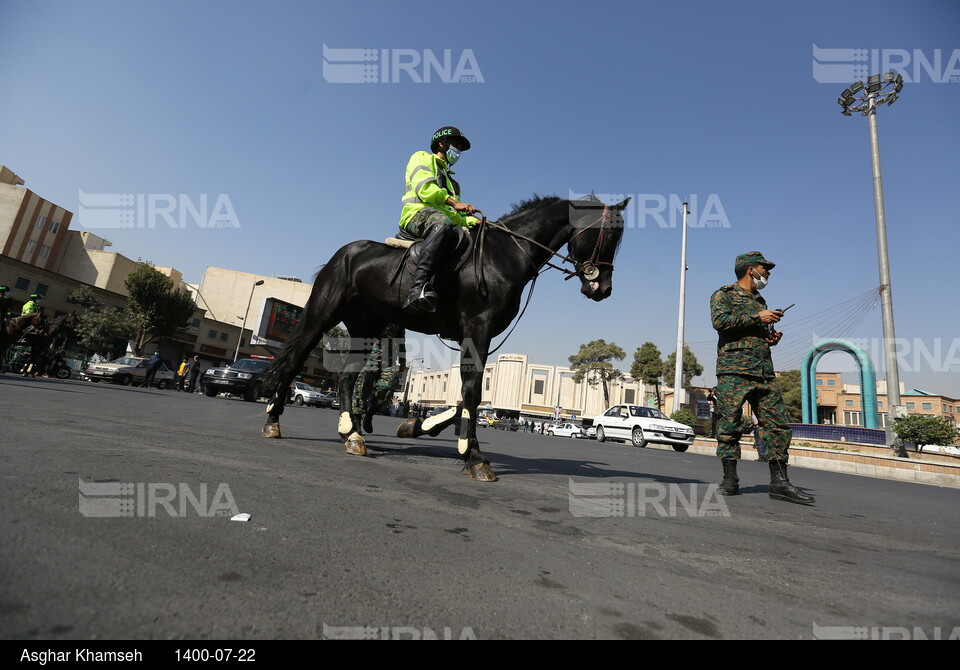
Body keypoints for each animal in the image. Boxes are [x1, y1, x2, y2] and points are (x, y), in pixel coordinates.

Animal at [260, 196, 632, 484]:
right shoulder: (478, 327)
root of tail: (344, 253)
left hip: (365, 327)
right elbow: (473, 391)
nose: (603, 288)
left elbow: (469, 397)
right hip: (323, 314)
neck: (505, 254)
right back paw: (273, 422)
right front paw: (475, 457)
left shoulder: (478, 335)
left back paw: (351, 433)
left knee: (348, 377)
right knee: (294, 362)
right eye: (607, 233)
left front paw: (421, 425)